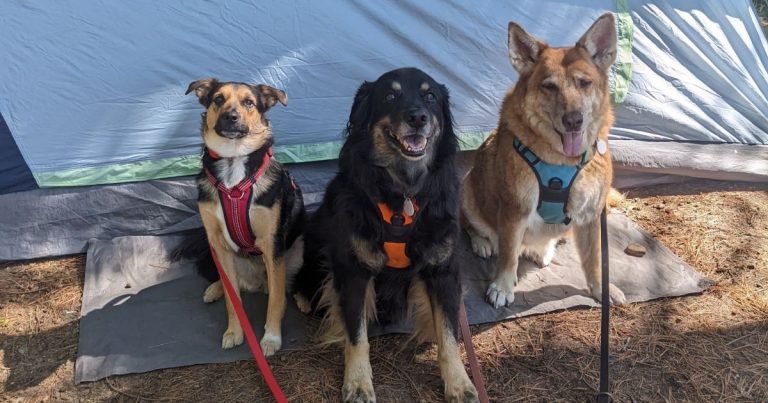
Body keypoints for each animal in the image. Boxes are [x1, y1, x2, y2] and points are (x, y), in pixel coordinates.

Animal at [183, 79, 306, 356]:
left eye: (249, 102)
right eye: (218, 99)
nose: (231, 117)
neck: (234, 160)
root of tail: (257, 283)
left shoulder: (272, 243)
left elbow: (275, 301)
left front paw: (271, 338)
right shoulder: (218, 243)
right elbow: (233, 301)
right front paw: (234, 332)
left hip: (298, 250)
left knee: (286, 287)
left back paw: (301, 299)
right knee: (231, 283)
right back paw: (214, 288)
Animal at [292, 69, 476, 403]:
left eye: (430, 96)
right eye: (390, 96)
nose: (418, 117)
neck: (403, 193)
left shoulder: (442, 270)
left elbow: (448, 333)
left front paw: (458, 382)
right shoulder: (353, 270)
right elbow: (357, 336)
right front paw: (357, 383)